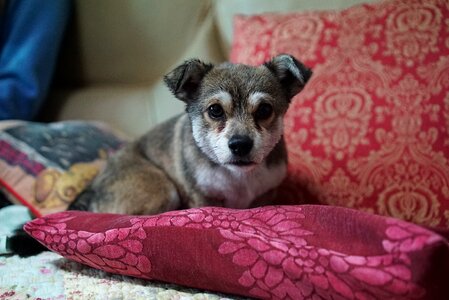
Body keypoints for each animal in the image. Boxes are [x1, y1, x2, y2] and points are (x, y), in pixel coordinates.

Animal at [69, 54, 312, 216]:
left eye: (264, 110)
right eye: (215, 110)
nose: (240, 144)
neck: (239, 178)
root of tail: (91, 188)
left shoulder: (266, 193)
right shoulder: (201, 197)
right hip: (161, 189)